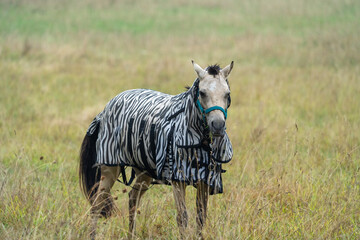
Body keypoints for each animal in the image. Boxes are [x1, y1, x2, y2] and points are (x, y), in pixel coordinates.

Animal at [79, 60, 233, 238]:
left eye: (227, 94)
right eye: (202, 93)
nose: (218, 126)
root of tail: (105, 110)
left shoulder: (205, 180)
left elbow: (201, 217)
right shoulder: (178, 179)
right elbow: (182, 217)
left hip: (144, 171)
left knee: (132, 198)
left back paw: (131, 235)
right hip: (109, 168)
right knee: (97, 205)